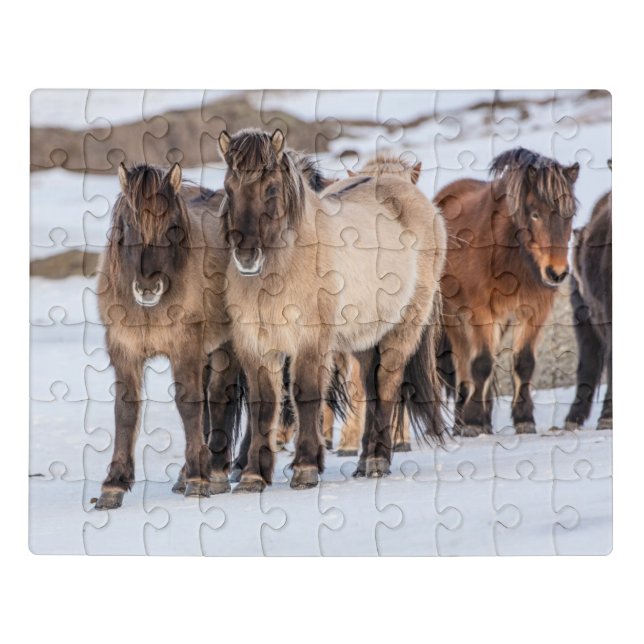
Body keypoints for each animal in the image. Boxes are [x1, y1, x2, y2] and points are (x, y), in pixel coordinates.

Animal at [94, 163, 244, 509]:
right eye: (129, 225)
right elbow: (126, 410)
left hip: (225, 347)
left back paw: (214, 472)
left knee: (219, 398)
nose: (148, 288)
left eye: (173, 227)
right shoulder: (124, 350)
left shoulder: (184, 348)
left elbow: (189, 404)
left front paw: (200, 480)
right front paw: (113, 485)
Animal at [218, 128, 446, 492]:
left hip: (401, 330)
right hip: (365, 339)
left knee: (387, 385)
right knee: (369, 389)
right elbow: (263, 406)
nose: (247, 256)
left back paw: (378, 460)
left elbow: (307, 395)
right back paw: (365, 459)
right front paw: (253, 475)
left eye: (271, 189)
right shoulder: (256, 346)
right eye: (228, 188)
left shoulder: (311, 343)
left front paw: (305, 468)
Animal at [435, 148, 580, 436]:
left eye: (569, 214)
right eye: (535, 213)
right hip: (454, 316)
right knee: (463, 365)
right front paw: (473, 420)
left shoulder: (534, 312)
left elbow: (524, 363)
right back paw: (461, 422)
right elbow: (481, 364)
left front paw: (524, 419)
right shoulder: (480, 313)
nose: (556, 272)